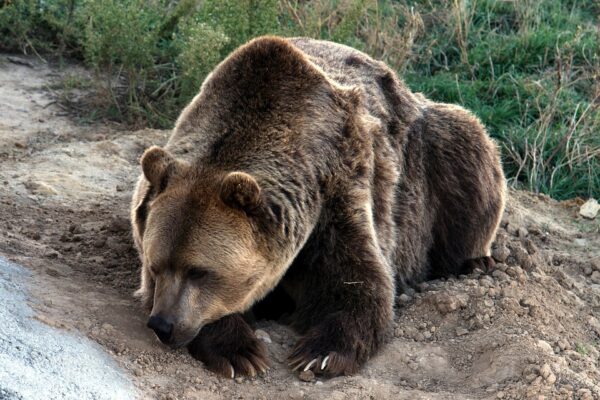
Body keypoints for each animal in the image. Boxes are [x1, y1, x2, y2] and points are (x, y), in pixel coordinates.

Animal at [130, 35, 506, 378]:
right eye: (155, 265)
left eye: (200, 271)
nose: (163, 325)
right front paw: (239, 351)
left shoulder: (338, 190)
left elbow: (357, 282)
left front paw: (319, 353)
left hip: (432, 154)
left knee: (469, 147)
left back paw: (476, 262)